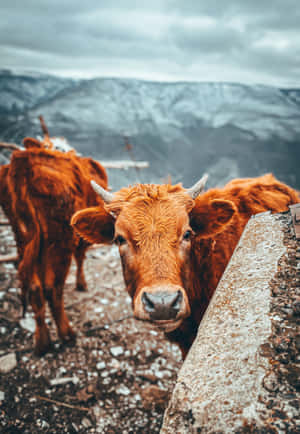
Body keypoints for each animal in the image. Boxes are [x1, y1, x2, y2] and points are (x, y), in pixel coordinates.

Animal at [0, 136, 108, 356]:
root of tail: (22, 161)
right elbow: (81, 258)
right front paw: (81, 284)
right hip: (60, 240)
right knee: (52, 288)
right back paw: (67, 334)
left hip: (23, 236)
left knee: (35, 287)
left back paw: (42, 342)